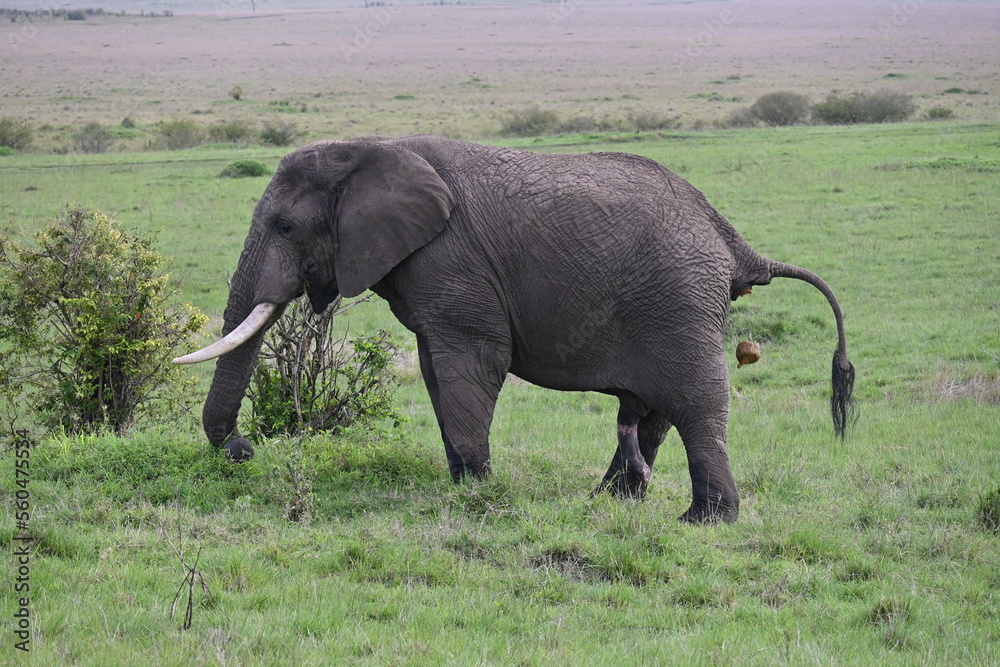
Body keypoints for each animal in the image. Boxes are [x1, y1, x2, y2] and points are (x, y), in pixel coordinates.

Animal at [176, 134, 855, 524]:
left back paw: (706, 521)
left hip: (679, 300)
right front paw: (461, 482)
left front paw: (477, 490)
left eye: (286, 227)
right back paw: (607, 504)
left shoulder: (452, 258)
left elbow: (472, 360)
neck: (368, 147)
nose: (244, 450)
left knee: (693, 402)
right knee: (652, 408)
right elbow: (436, 368)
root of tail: (733, 242)